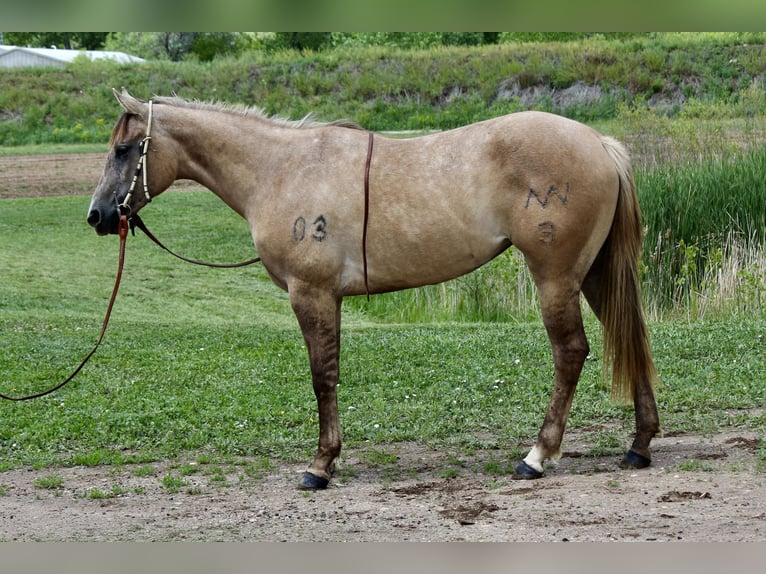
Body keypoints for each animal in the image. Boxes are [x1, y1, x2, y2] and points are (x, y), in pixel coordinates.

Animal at [88, 88, 660, 490]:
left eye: (123, 149)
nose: (97, 215)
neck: (281, 169)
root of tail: (599, 144)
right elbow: (331, 373)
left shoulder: (311, 294)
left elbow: (322, 377)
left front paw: (320, 465)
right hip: (594, 275)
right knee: (630, 338)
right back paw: (639, 445)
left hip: (556, 280)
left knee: (571, 353)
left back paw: (537, 456)